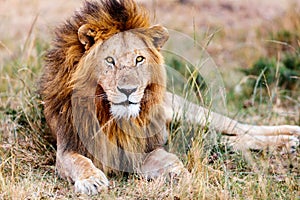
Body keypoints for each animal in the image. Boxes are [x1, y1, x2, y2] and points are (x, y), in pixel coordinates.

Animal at [38, 0, 298, 195]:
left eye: (139, 59)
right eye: (109, 60)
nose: (128, 90)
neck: (110, 116)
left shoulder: (144, 149)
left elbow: (171, 161)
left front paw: (186, 175)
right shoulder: (67, 148)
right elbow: (79, 161)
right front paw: (91, 180)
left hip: (189, 112)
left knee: (241, 127)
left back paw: (290, 135)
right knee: (225, 140)